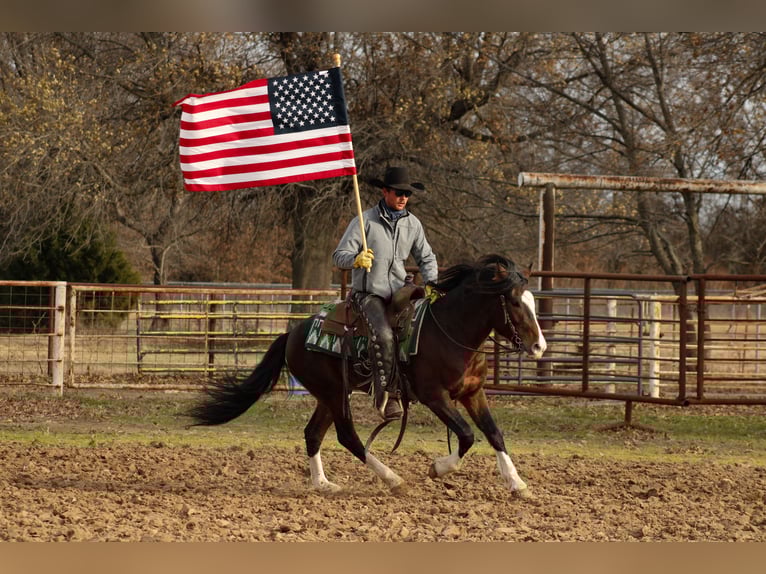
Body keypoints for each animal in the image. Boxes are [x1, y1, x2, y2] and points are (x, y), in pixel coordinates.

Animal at [187, 254, 547, 497]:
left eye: (532, 300)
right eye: (514, 302)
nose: (539, 346)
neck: (450, 330)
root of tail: (293, 333)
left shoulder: (474, 393)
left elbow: (494, 433)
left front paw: (517, 483)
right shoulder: (435, 396)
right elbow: (468, 435)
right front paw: (438, 469)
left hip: (330, 395)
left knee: (313, 434)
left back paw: (323, 484)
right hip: (334, 394)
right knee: (347, 436)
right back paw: (392, 479)